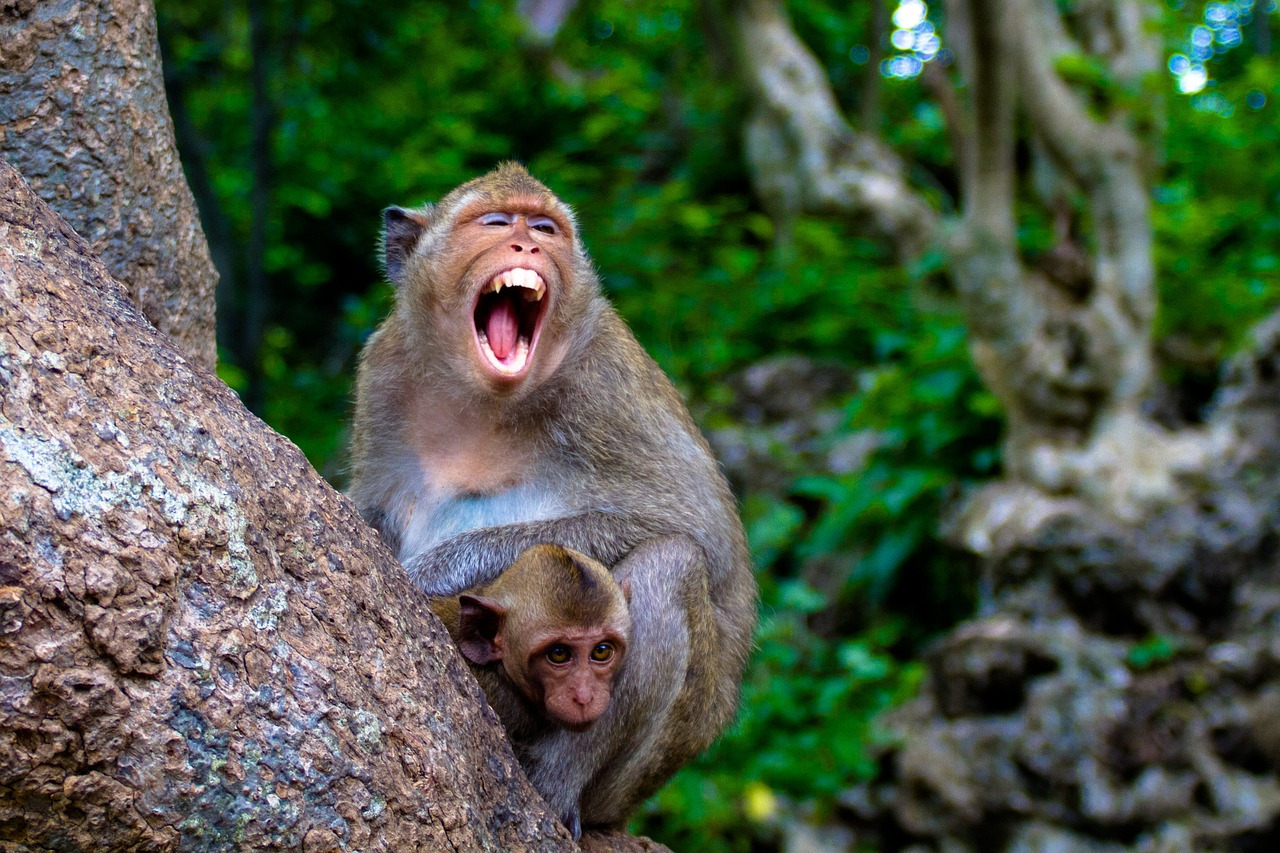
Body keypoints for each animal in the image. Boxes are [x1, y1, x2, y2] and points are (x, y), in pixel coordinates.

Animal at [348, 162, 757, 834]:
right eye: (495, 223)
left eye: (545, 228)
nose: (528, 246)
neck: (486, 400)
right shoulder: (382, 371)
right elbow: (372, 510)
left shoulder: (607, 383)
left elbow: (701, 532)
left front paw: (431, 570)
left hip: (639, 773)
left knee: (672, 563)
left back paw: (558, 783)